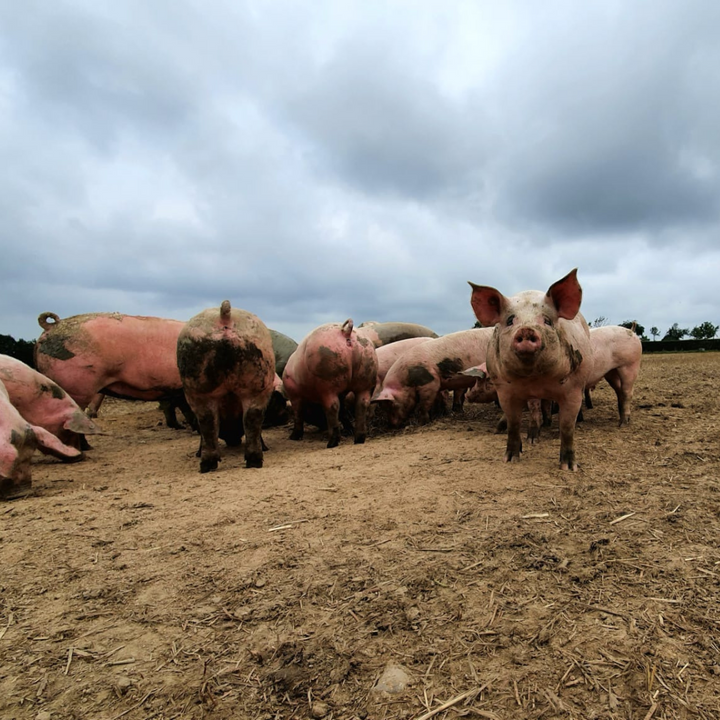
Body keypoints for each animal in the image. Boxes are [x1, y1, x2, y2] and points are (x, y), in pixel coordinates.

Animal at [177, 300, 276, 472]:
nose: (233, 440)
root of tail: (224, 316)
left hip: (196, 389)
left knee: (207, 421)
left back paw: (207, 464)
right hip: (258, 381)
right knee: (252, 417)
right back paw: (253, 461)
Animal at [282, 320, 380, 448]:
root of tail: (346, 332)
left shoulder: (294, 394)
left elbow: (298, 414)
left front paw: (293, 437)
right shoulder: (342, 393)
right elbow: (343, 412)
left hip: (327, 381)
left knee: (332, 407)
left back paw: (331, 443)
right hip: (366, 376)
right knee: (362, 405)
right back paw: (358, 439)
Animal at [470, 268, 592, 470]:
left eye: (547, 321)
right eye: (510, 320)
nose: (526, 330)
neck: (535, 378)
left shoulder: (574, 388)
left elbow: (567, 427)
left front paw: (569, 467)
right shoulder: (504, 390)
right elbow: (513, 424)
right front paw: (510, 459)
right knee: (534, 411)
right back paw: (531, 440)